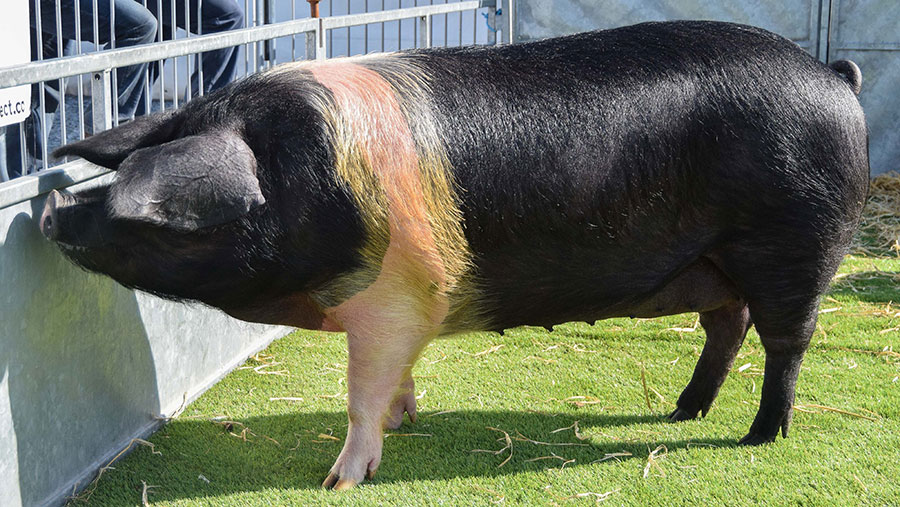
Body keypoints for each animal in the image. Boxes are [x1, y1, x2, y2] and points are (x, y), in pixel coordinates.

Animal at [42, 20, 864, 492]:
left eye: (164, 219)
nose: (50, 209)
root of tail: (834, 77)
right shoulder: (407, 310)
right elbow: (396, 378)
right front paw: (409, 422)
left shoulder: (394, 299)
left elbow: (362, 392)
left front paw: (340, 481)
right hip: (718, 264)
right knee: (727, 329)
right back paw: (680, 408)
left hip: (796, 242)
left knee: (787, 340)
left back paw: (759, 434)